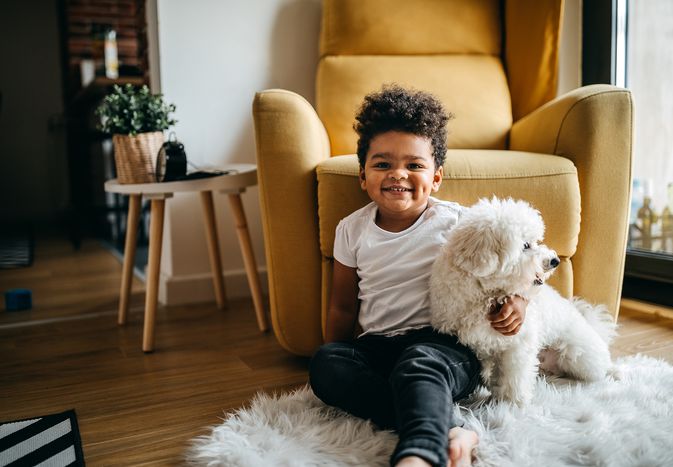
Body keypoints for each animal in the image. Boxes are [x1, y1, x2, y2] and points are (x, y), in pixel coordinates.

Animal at [430, 197, 616, 406]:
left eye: (535, 241)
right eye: (525, 245)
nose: (554, 261)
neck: (486, 294)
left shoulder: (518, 344)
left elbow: (514, 376)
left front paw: (511, 403)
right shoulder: (478, 343)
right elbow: (490, 368)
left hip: (579, 356)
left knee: (601, 366)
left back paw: (614, 372)